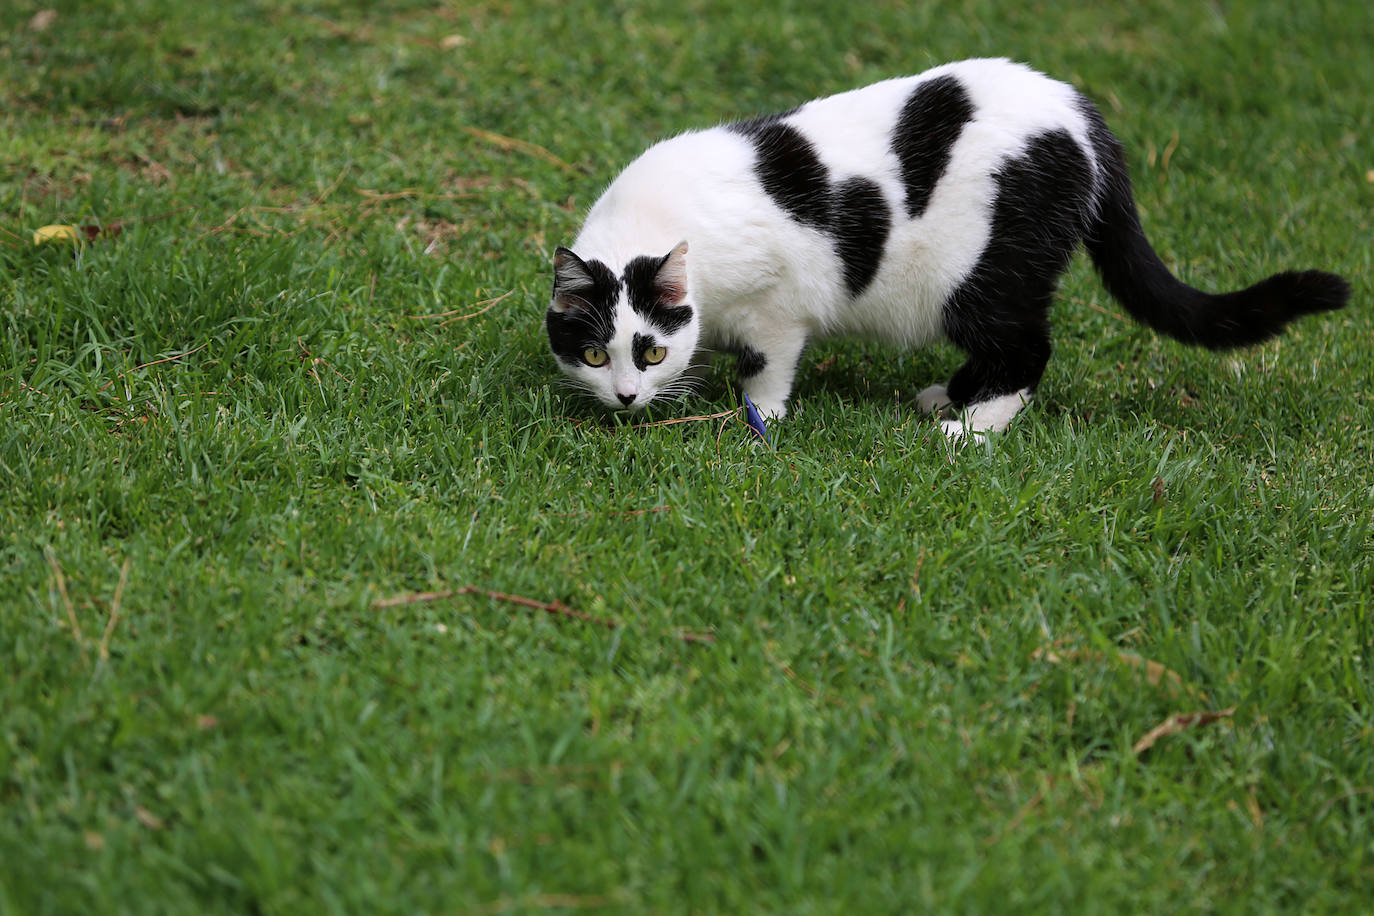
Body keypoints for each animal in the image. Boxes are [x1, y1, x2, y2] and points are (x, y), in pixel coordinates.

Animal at [541, 57, 1346, 439]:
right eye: (593, 354)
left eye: (646, 350)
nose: (625, 396)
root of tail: (1082, 114)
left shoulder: (779, 300)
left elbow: (768, 363)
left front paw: (759, 417)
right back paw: (951, 397)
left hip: (984, 276)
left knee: (1027, 350)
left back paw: (973, 429)